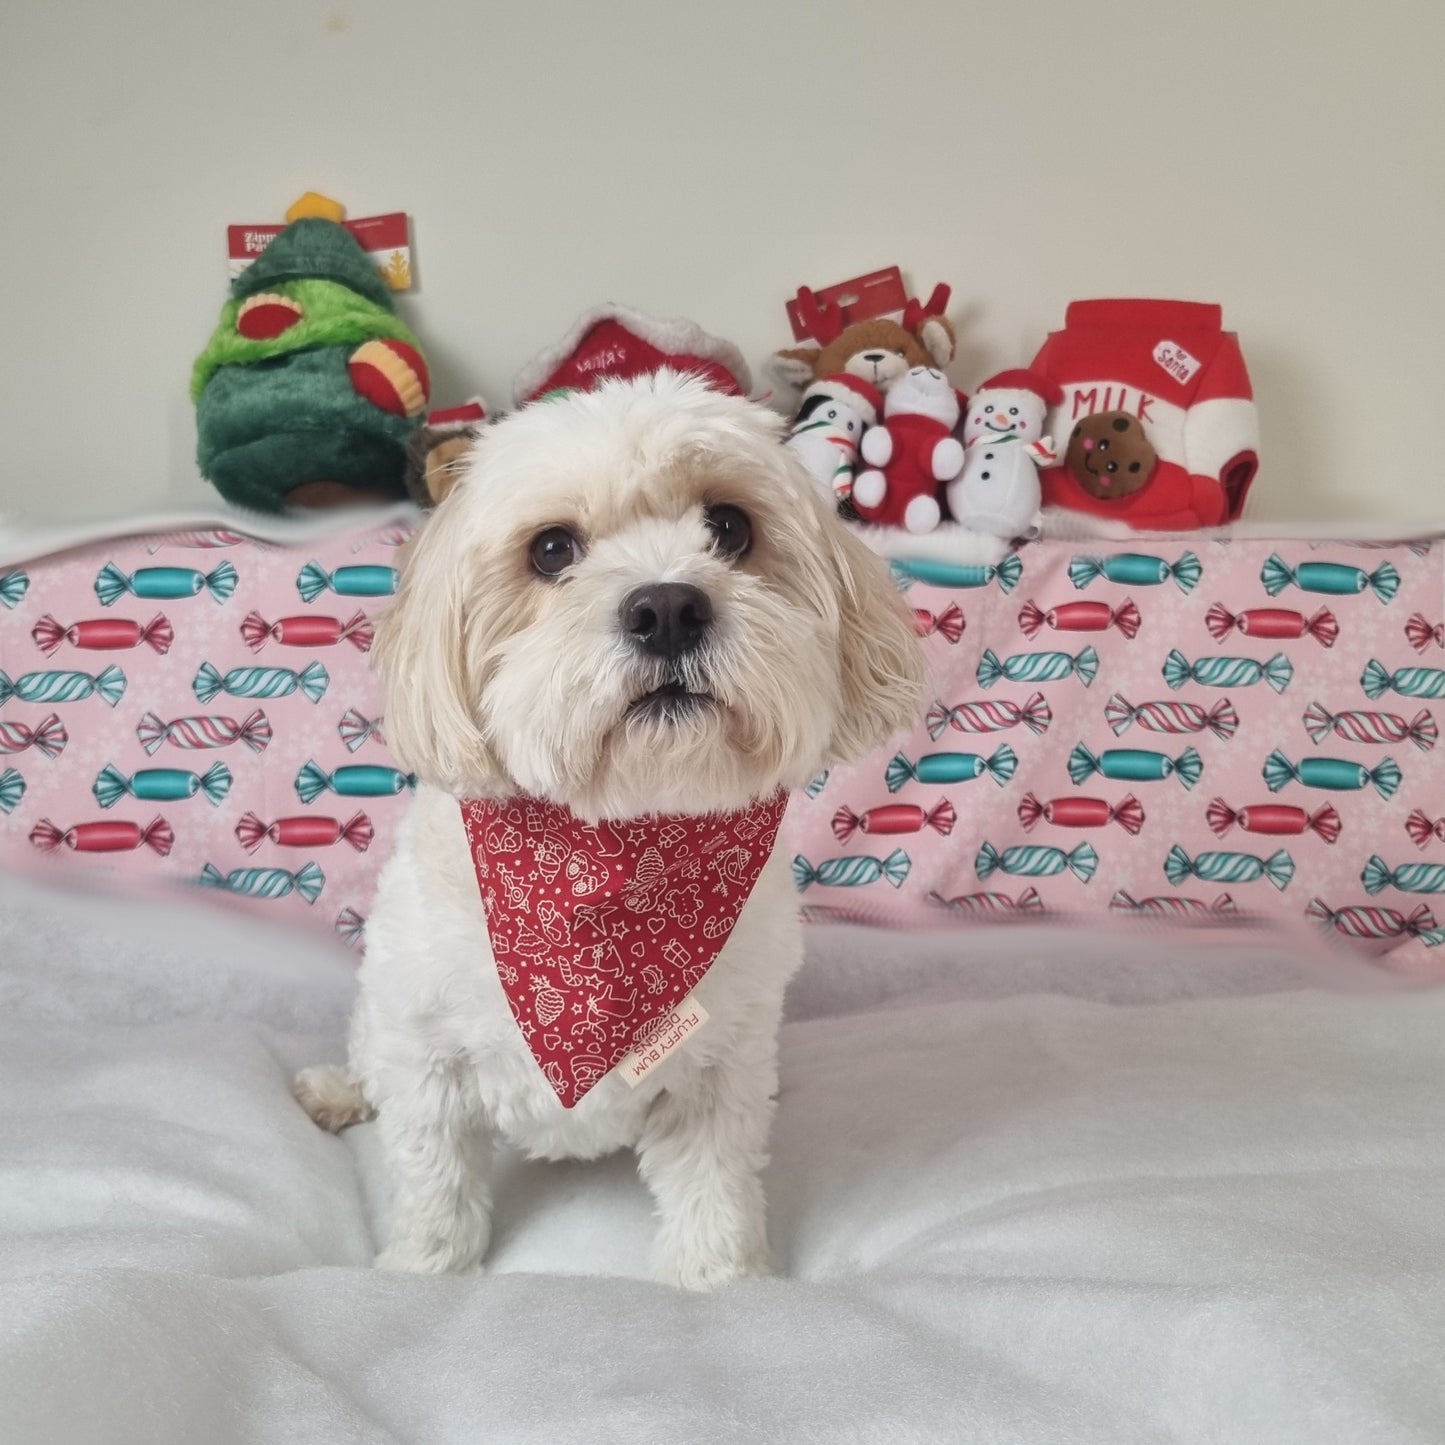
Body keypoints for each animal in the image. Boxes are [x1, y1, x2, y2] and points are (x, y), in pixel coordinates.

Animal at [297, 369, 919, 1288]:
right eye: (552, 549)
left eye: (729, 527)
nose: (667, 606)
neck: (612, 849)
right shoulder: (428, 1052)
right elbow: (434, 1177)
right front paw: (422, 1270)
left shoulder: (719, 1066)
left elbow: (714, 1184)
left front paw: (722, 1279)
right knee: (366, 1057)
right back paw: (337, 1089)